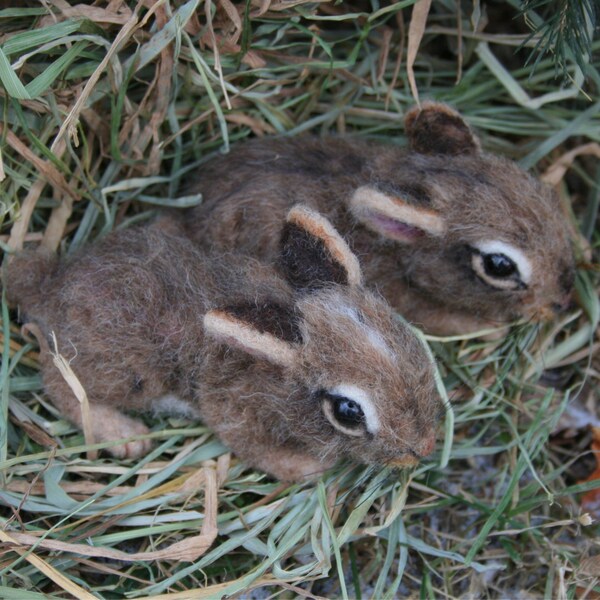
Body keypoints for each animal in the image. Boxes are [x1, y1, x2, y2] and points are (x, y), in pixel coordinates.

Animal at [5, 206, 446, 482]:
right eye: (347, 411)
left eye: (409, 342)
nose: (423, 447)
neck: (278, 372)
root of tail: (49, 284)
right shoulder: (229, 407)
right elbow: (252, 446)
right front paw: (306, 468)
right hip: (127, 372)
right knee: (60, 384)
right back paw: (125, 434)